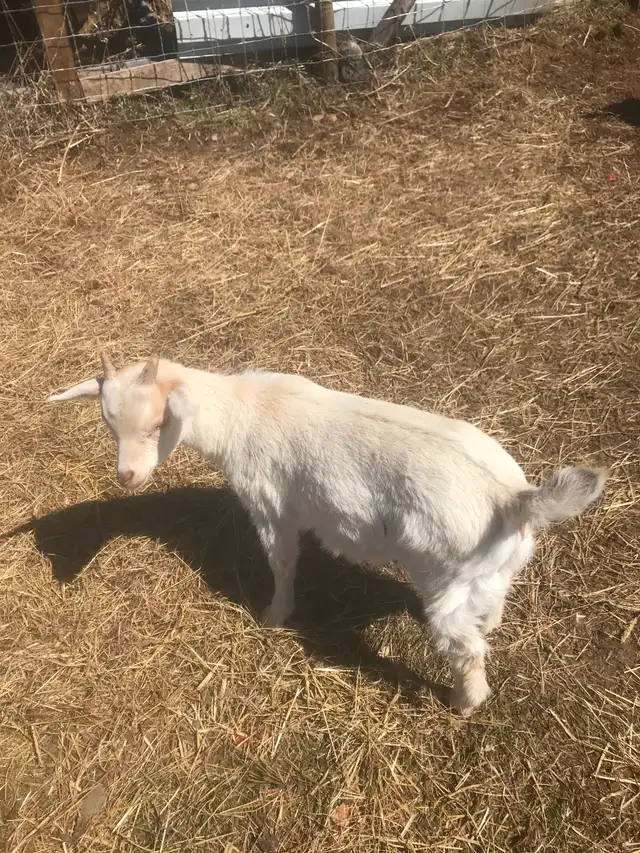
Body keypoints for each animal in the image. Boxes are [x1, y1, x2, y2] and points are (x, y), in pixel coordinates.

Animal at [48, 353, 607, 715]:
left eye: (157, 424)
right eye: (109, 425)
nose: (127, 477)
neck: (241, 410)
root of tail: (512, 498)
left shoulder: (271, 506)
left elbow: (282, 562)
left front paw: (274, 616)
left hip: (445, 573)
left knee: (463, 646)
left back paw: (463, 703)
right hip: (491, 571)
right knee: (487, 615)